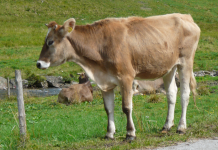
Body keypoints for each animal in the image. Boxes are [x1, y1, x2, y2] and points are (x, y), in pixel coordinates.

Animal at [36, 13, 201, 140]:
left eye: (50, 42)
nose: (38, 63)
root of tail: (185, 16)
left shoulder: (126, 78)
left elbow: (127, 107)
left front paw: (130, 134)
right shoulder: (105, 81)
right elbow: (108, 108)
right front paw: (109, 133)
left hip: (185, 62)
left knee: (184, 94)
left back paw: (181, 127)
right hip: (169, 67)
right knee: (171, 94)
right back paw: (167, 126)